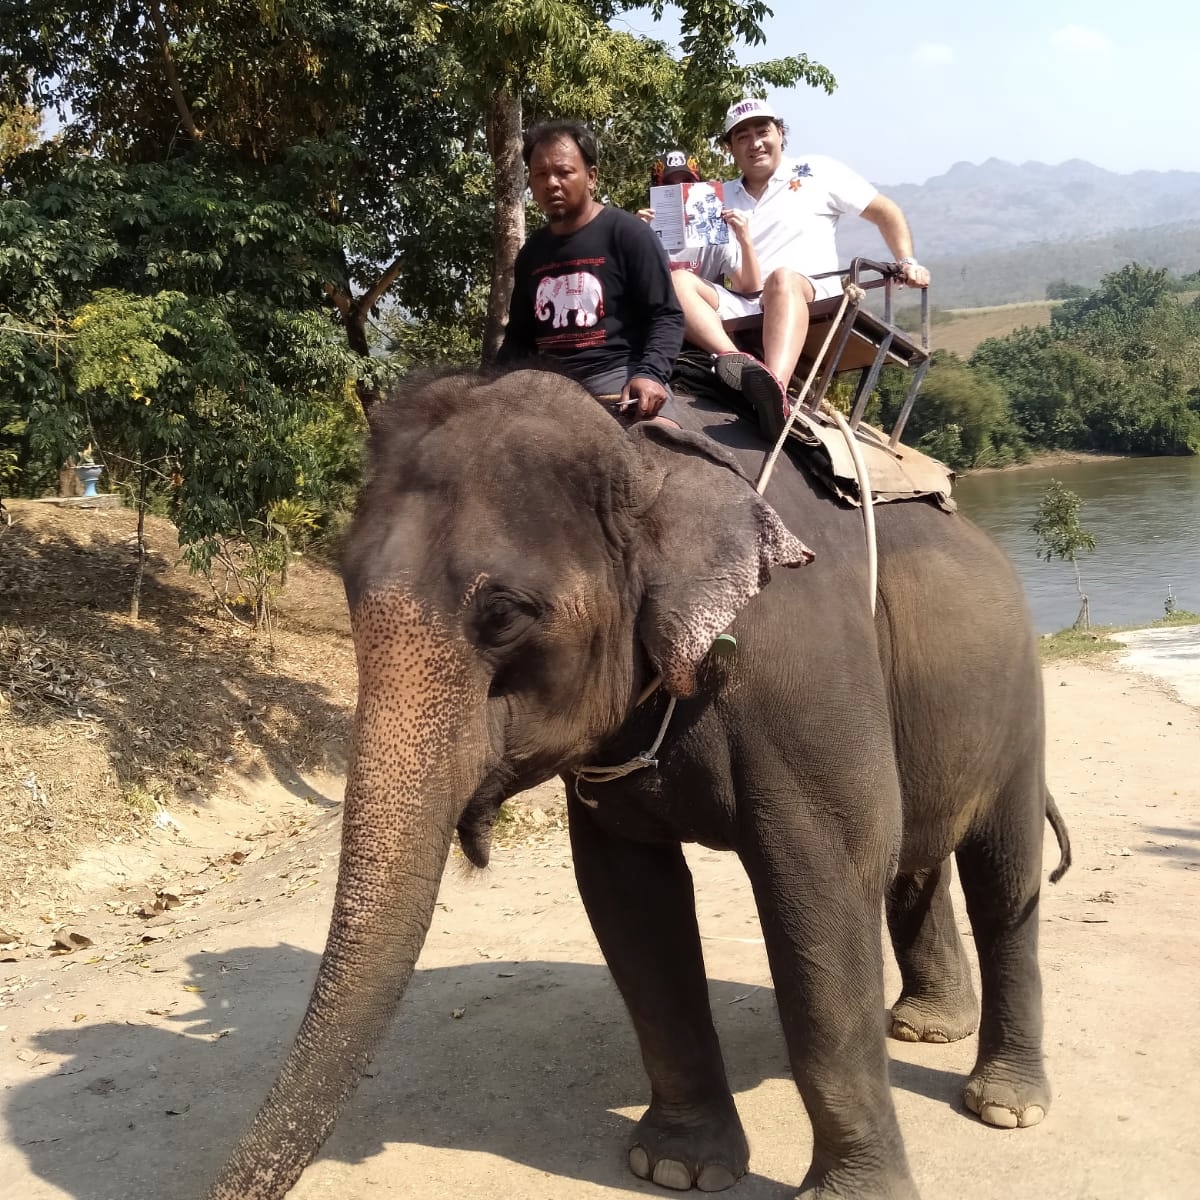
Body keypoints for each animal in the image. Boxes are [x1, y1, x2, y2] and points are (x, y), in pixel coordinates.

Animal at [204, 367, 1070, 1200]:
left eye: (505, 615)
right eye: (348, 589)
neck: (643, 457)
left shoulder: (806, 671)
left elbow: (825, 879)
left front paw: (847, 1196)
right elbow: (629, 898)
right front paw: (677, 1170)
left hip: (1020, 705)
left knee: (1002, 879)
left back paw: (1004, 1104)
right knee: (917, 862)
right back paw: (927, 1029)